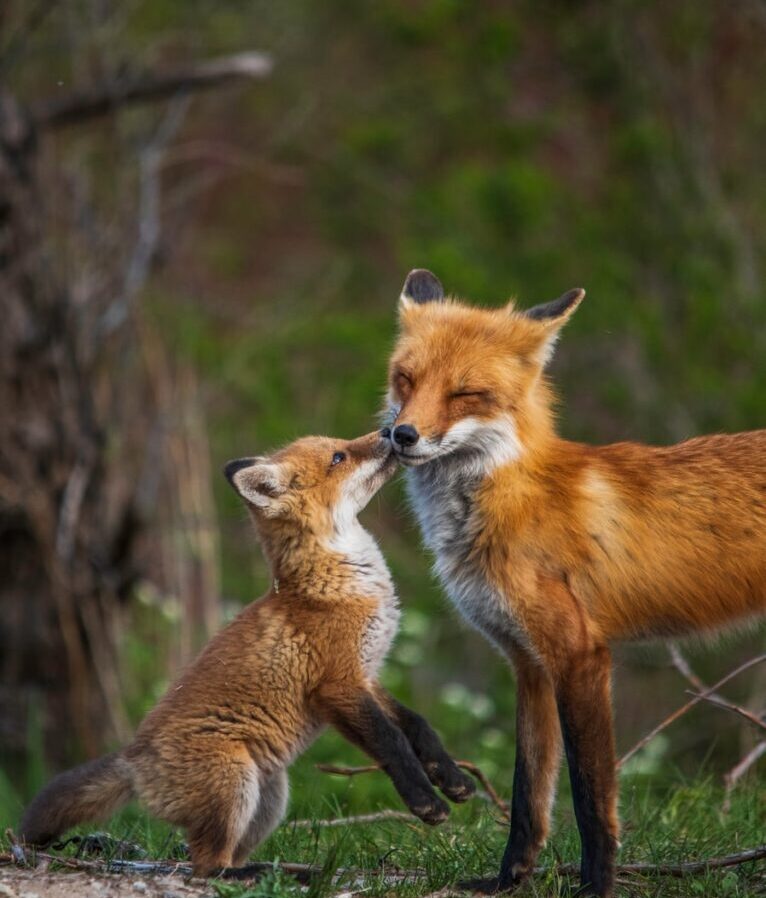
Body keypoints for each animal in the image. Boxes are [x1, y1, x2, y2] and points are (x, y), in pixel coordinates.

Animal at [19, 430, 475, 876]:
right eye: (339, 457)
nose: (391, 431)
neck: (337, 583)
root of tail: (134, 760)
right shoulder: (337, 686)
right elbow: (391, 741)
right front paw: (425, 802)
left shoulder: (366, 673)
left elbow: (417, 725)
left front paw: (452, 777)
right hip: (235, 781)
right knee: (207, 866)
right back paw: (262, 875)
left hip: (270, 795)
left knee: (224, 855)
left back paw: (288, 871)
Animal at [383, 269, 766, 898]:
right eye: (406, 379)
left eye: (465, 393)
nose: (401, 434)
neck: (508, 500)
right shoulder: (528, 662)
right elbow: (528, 794)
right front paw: (508, 882)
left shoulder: (579, 653)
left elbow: (590, 796)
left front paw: (596, 886)